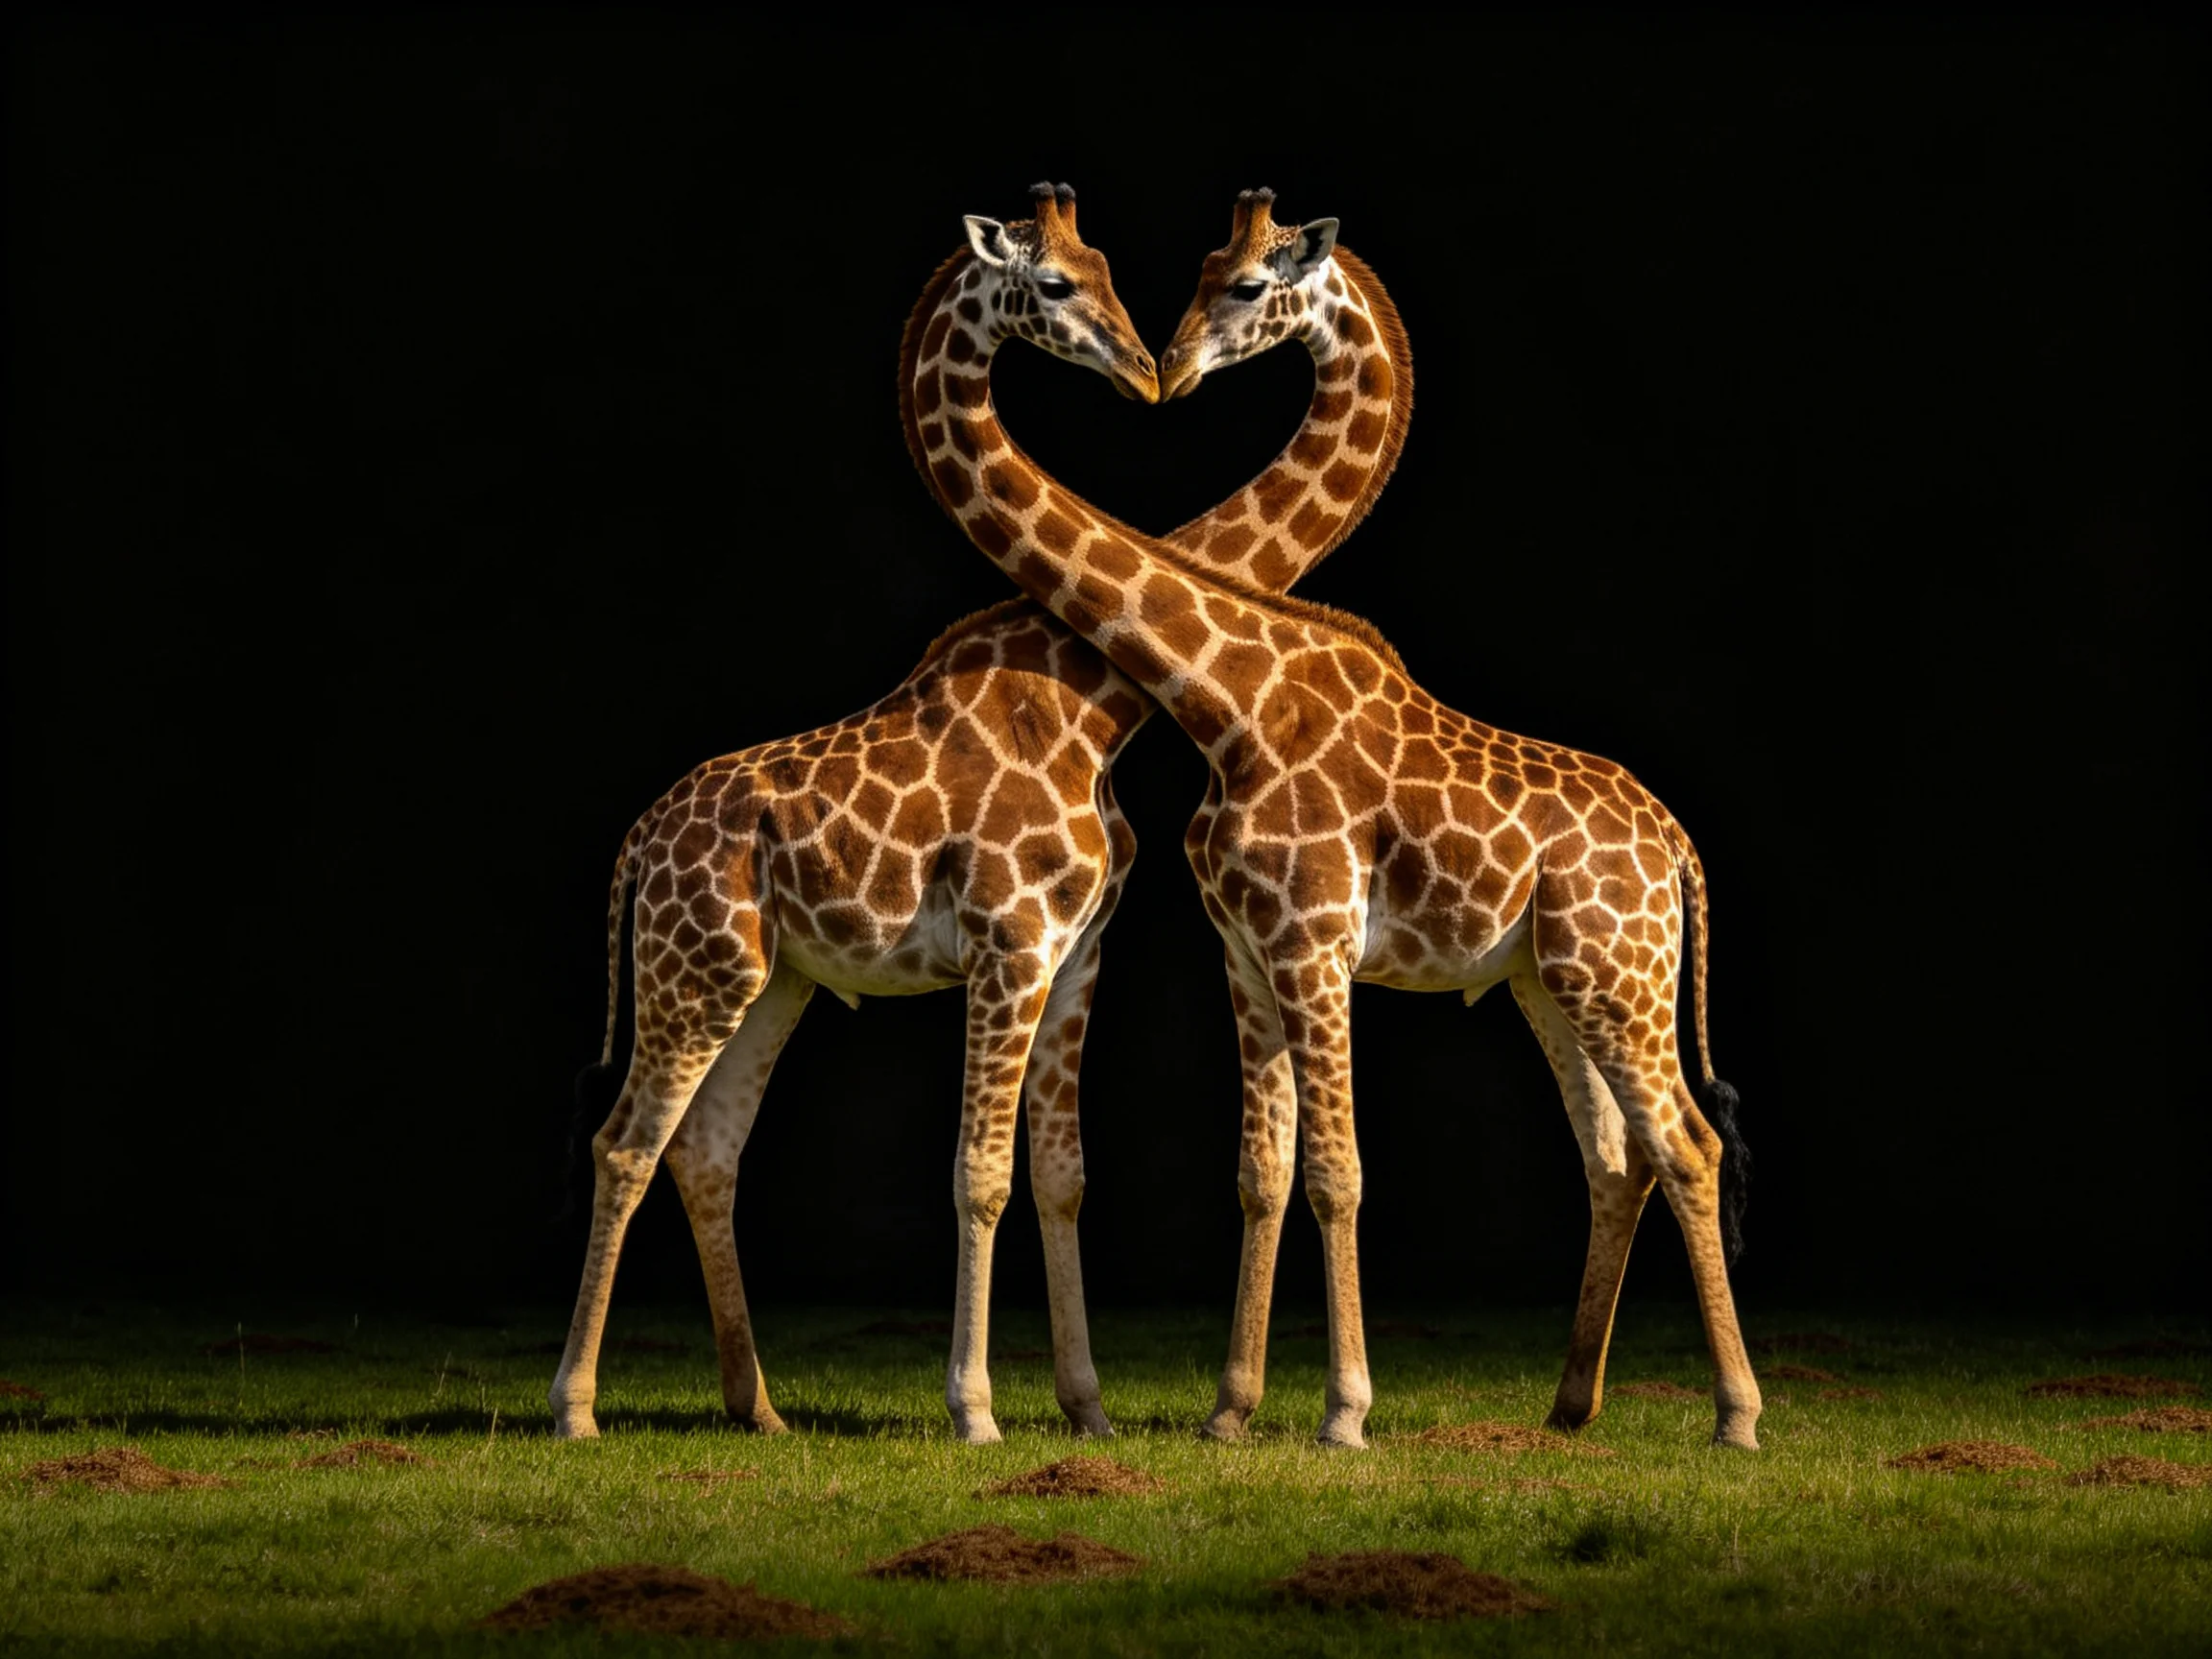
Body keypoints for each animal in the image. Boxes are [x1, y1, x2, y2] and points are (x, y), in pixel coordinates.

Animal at [549, 183, 1414, 1446]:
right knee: (624, 1143)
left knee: (704, 1151)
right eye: (1056, 282)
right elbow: (978, 1173)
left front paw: (1087, 1408)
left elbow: (1057, 1170)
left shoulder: (1076, 943)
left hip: (773, 979)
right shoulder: (1008, 940)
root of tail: (634, 848)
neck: (1093, 703)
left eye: (1241, 281)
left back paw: (760, 1410)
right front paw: (976, 1411)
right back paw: (574, 1408)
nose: (1156, 374)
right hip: (693, 973)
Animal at [917, 186, 1761, 1451]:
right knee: (1619, 1158)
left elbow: (1340, 1171)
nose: (1162, 372)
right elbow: (1266, 1170)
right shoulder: (1247, 946)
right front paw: (1231, 1412)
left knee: (1688, 1143)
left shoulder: (1314, 941)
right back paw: (1570, 1408)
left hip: (1619, 974)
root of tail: (1678, 848)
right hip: (1549, 979)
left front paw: (1344, 1414)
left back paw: (1736, 1417)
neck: (1230, 699)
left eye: (1245, 283)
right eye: (1068, 278)